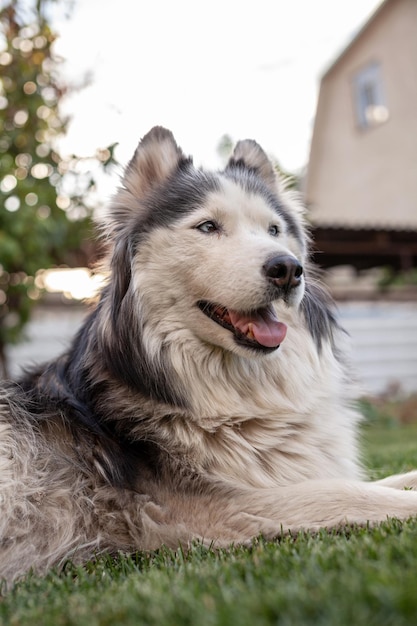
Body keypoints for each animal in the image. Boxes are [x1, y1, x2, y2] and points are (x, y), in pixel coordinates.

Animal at [0, 124, 416, 584]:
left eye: (273, 230)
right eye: (208, 226)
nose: (288, 269)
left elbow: (380, 480)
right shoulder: (217, 509)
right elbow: (345, 492)